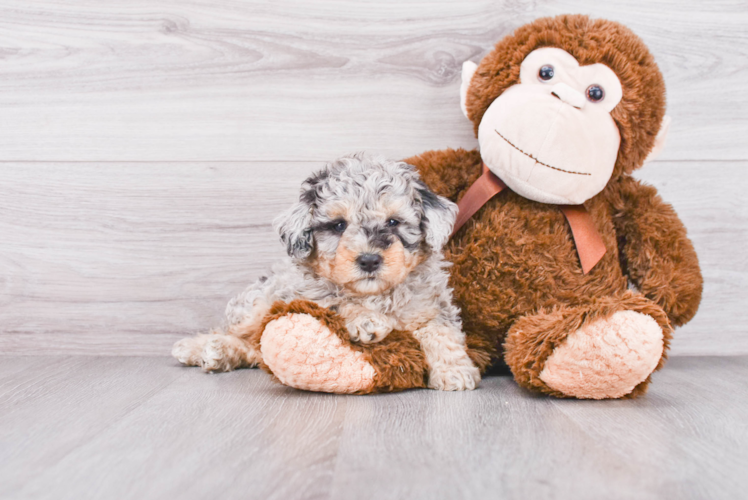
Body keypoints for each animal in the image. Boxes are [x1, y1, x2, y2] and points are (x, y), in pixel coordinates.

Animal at [172, 152, 480, 390]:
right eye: (338, 225)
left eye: (393, 222)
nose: (369, 260)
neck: (376, 295)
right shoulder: (307, 295)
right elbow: (338, 301)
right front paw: (366, 320)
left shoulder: (434, 306)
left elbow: (442, 332)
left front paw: (455, 371)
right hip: (254, 304)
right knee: (242, 334)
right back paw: (203, 348)